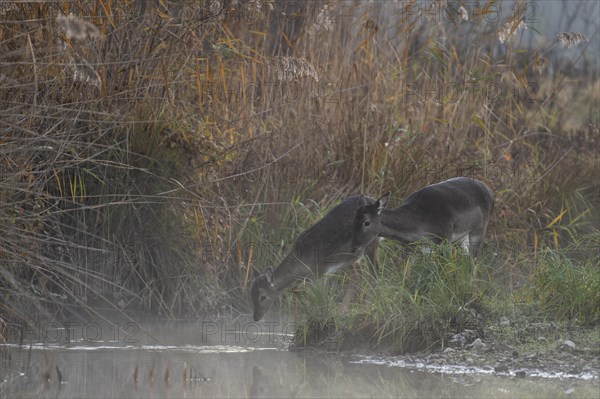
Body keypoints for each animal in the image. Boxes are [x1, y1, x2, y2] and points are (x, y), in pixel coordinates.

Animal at [253, 195, 380, 324]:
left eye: (262, 296)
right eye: (250, 293)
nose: (256, 317)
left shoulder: (320, 270)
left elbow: (321, 294)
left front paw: (322, 316)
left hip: (370, 244)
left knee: (373, 272)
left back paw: (365, 308)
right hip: (350, 257)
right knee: (357, 276)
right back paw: (343, 312)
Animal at [352, 178, 492, 260]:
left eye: (366, 222)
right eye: (353, 220)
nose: (354, 246)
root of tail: (489, 190)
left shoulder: (444, 238)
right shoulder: (410, 247)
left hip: (480, 228)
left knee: (474, 260)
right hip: (461, 238)